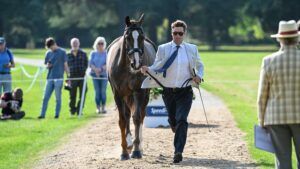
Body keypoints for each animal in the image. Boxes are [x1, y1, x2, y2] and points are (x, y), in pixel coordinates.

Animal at [106, 14, 156, 160]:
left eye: (142, 37)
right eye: (127, 37)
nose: (137, 63)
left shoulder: (138, 92)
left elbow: (137, 118)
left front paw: (137, 150)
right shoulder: (117, 94)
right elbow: (123, 120)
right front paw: (124, 151)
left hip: (143, 94)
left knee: (141, 115)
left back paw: (138, 145)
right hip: (126, 95)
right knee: (127, 115)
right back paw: (128, 144)